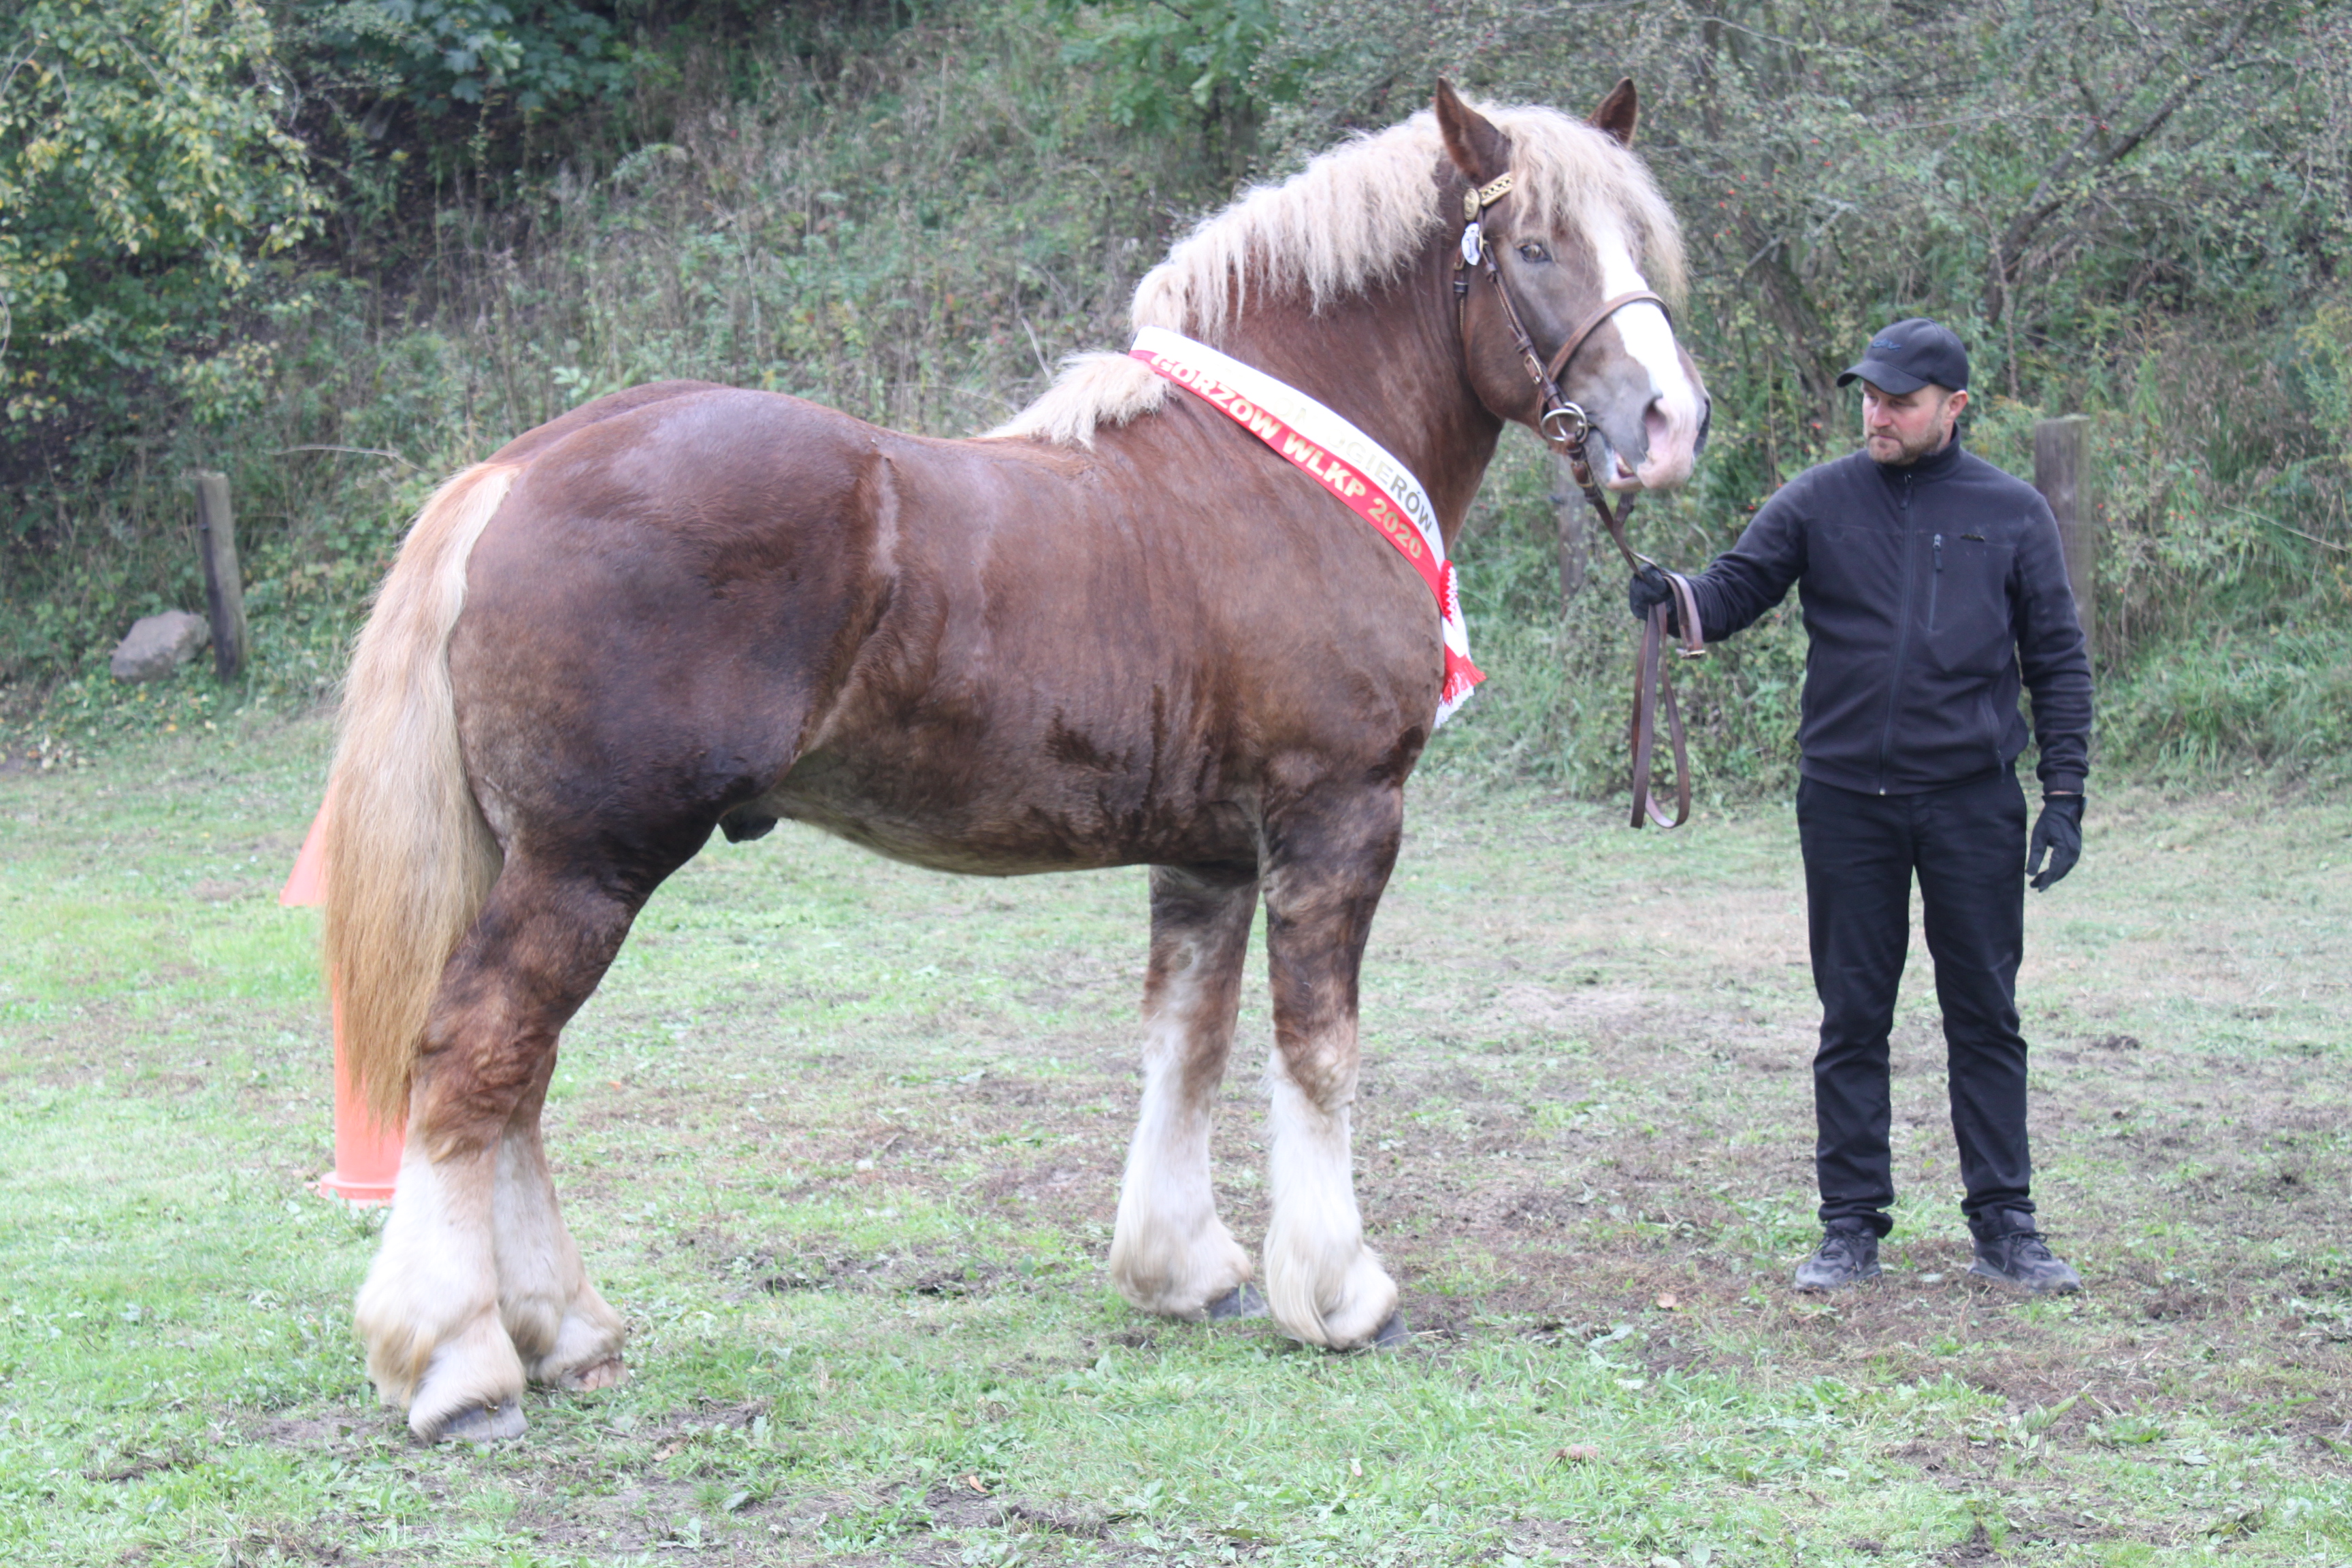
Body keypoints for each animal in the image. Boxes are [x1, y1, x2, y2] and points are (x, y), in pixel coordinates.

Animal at [322, 80, 1703, 1439]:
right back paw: (461, 1365)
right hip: (590, 862)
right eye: (1534, 247)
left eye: (1636, 242)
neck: (1277, 477)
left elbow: (1187, 1042)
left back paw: (563, 1333)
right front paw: (1341, 1294)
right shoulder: (1338, 816)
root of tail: (512, 472)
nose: (1669, 419)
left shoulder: (1209, 851)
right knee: (478, 1057)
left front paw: (1184, 1270)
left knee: (520, 1076)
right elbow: (1317, 1048)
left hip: (547, 863)